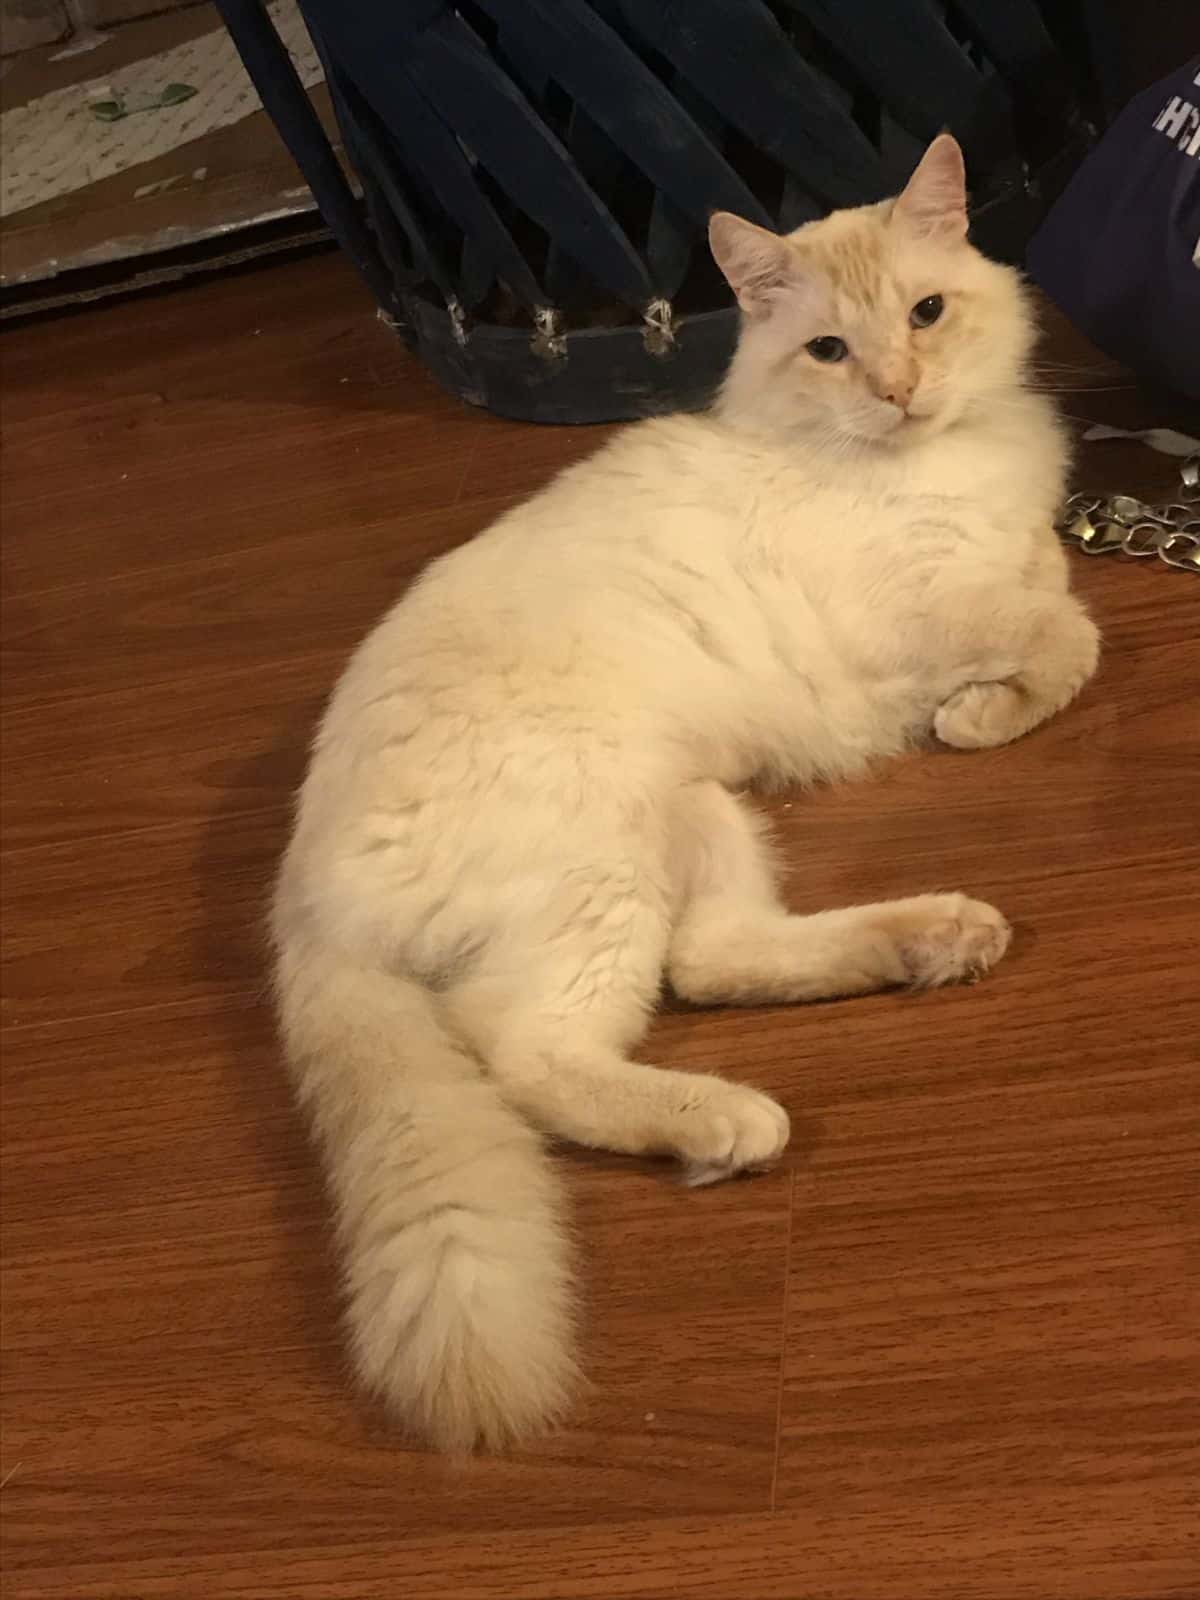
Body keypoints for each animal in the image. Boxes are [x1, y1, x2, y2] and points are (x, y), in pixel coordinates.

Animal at [272, 137, 1100, 1459]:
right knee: (530, 1048)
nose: (901, 388)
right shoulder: (921, 613)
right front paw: (981, 714)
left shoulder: (1001, 565)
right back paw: (726, 1120)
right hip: (604, 858)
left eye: (926, 314)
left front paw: (982, 700)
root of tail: (298, 898)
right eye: (830, 351)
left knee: (711, 961)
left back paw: (938, 939)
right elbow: (1065, 636)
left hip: (697, 812)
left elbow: (1050, 586)